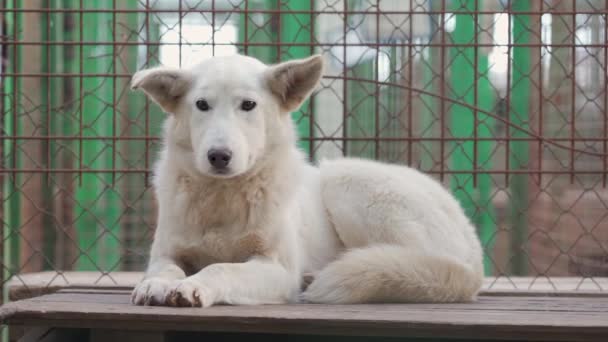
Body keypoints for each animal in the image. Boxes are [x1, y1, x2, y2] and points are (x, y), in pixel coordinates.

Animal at [131, 54, 482, 308]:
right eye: (202, 105)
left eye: (248, 105)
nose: (219, 156)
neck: (222, 198)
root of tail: (473, 264)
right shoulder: (167, 253)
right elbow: (165, 268)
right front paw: (156, 284)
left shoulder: (278, 269)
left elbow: (222, 268)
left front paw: (193, 285)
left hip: (347, 184)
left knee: (408, 262)